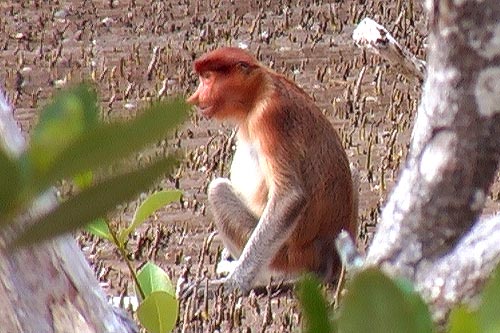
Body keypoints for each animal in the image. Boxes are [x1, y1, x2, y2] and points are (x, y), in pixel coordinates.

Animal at [187, 47, 356, 294]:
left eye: (208, 78)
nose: (195, 97)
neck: (260, 89)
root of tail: (329, 260)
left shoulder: (270, 118)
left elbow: (290, 198)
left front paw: (231, 284)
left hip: (287, 255)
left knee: (217, 190)